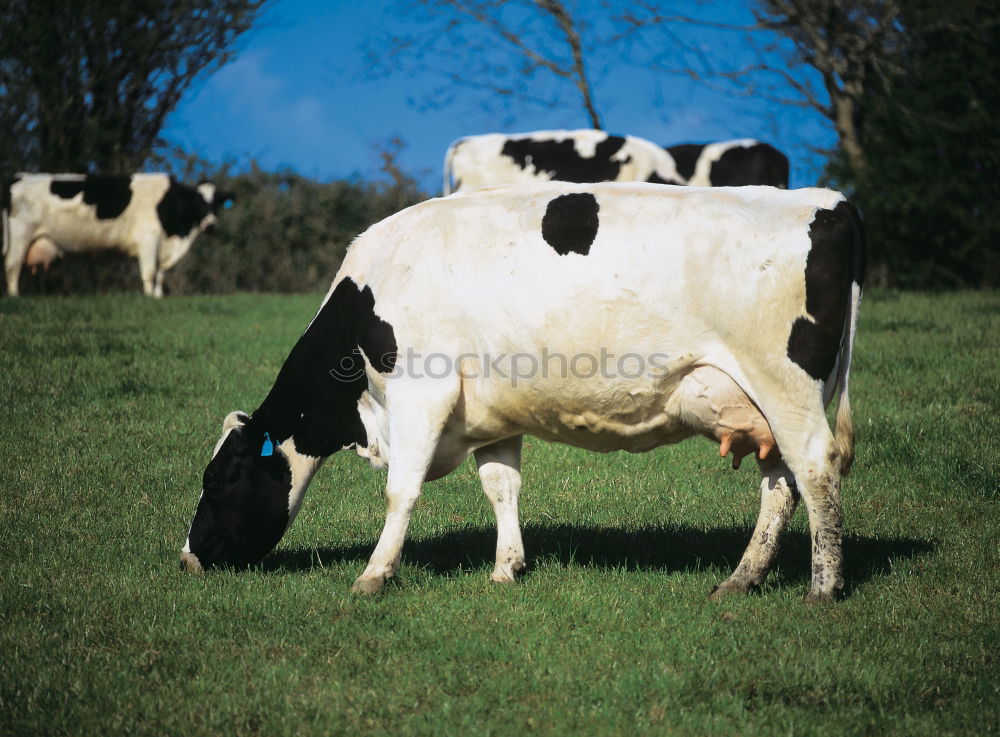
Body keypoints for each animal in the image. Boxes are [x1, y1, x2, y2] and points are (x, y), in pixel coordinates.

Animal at [3, 172, 232, 296]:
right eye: (198, 202)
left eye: (216, 203)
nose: (211, 224)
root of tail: (18, 177)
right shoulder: (148, 238)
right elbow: (150, 272)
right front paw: (149, 298)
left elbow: (160, 273)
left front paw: (158, 297)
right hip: (20, 235)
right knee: (13, 266)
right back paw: (15, 296)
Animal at [182, 181, 868, 600]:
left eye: (218, 479)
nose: (188, 558)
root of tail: (829, 201)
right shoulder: (490, 414)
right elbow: (501, 486)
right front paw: (505, 568)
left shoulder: (419, 393)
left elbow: (400, 491)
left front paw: (373, 576)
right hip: (766, 407)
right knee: (781, 486)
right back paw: (740, 580)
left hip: (785, 387)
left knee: (816, 471)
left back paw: (823, 587)